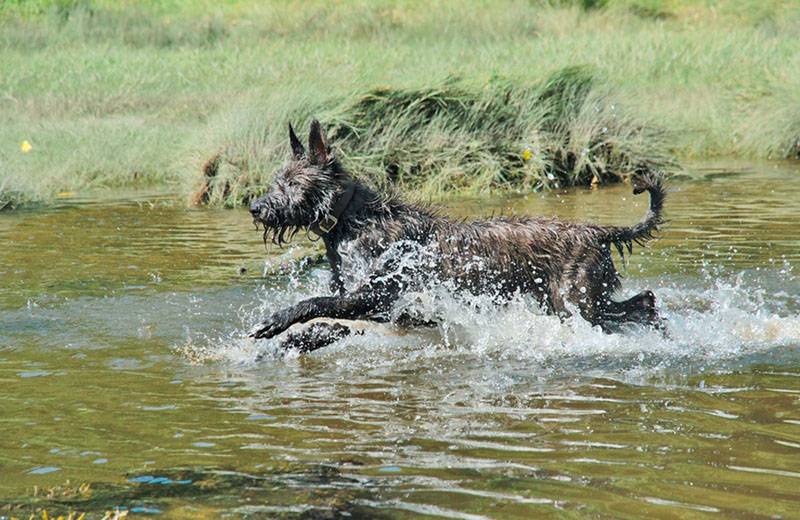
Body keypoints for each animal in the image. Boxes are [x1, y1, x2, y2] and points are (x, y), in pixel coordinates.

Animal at [248, 120, 664, 352]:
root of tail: (598, 232)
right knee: (643, 302)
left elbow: (316, 304)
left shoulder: (376, 295)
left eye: (292, 183)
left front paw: (278, 322)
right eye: (277, 181)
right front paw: (296, 341)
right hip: (577, 301)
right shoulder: (382, 309)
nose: (255, 207)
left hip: (574, 303)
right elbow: (332, 324)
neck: (354, 220)